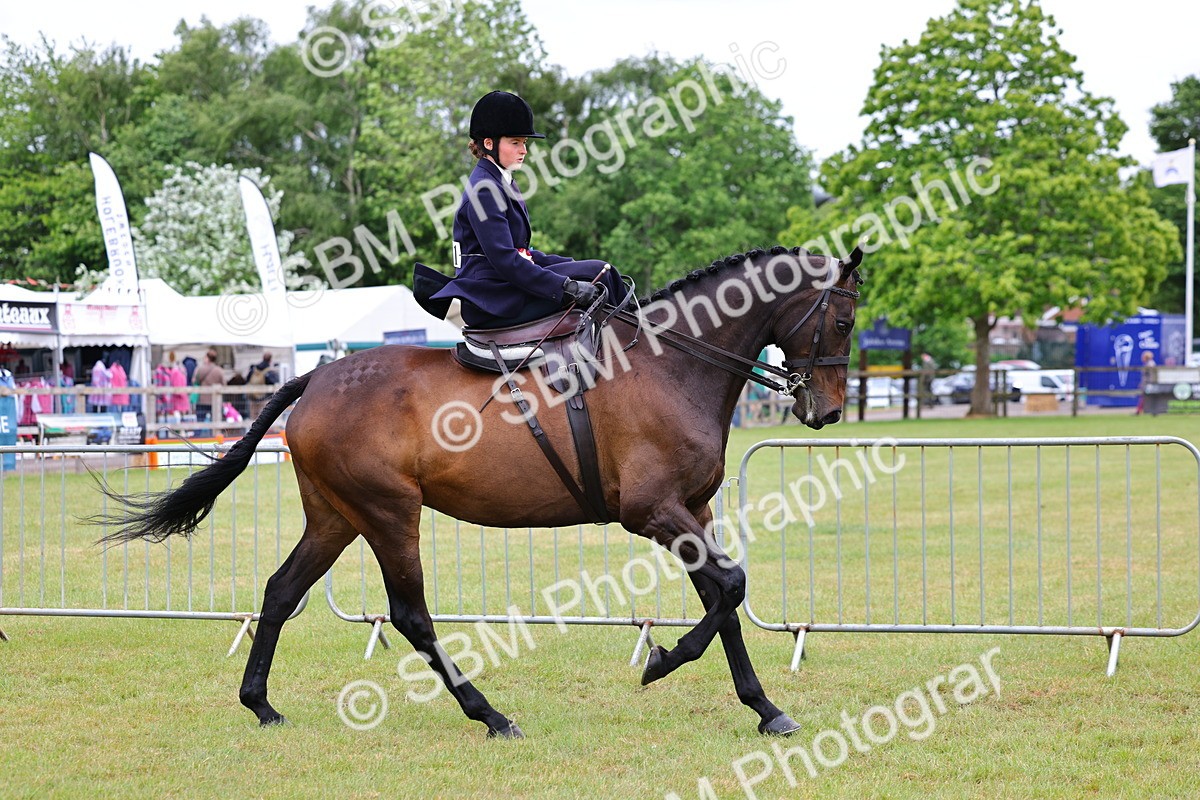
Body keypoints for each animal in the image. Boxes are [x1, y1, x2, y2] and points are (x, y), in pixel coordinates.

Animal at [97, 244, 863, 738]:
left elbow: (723, 598)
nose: (825, 411)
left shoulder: (692, 510)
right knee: (410, 615)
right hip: (388, 515)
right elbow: (729, 588)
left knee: (282, 591)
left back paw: (260, 704)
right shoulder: (654, 512)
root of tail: (315, 378)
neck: (670, 363)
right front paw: (661, 662)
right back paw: (489, 715)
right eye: (845, 319)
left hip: (336, 517)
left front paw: (764, 708)